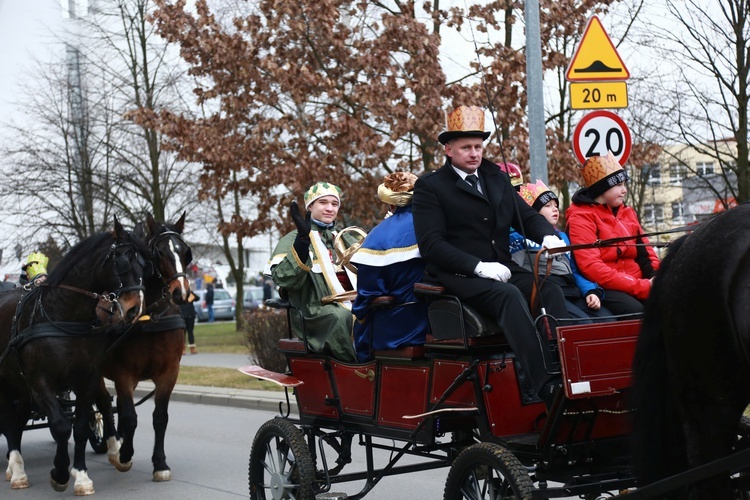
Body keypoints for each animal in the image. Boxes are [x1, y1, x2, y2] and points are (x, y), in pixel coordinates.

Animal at [0, 219, 150, 496]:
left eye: (145, 264)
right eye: (123, 262)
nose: (135, 309)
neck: (63, 316)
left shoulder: (86, 379)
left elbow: (79, 427)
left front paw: (80, 476)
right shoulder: (40, 381)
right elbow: (61, 426)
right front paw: (59, 473)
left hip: (21, 385)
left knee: (18, 419)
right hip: (7, 383)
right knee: (8, 421)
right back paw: (17, 470)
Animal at [95, 213, 194, 482]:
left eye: (185, 253)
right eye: (158, 253)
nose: (181, 293)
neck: (150, 319)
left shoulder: (169, 372)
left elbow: (160, 417)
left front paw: (160, 463)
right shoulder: (123, 373)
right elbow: (130, 417)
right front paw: (125, 456)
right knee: (104, 403)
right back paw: (113, 446)